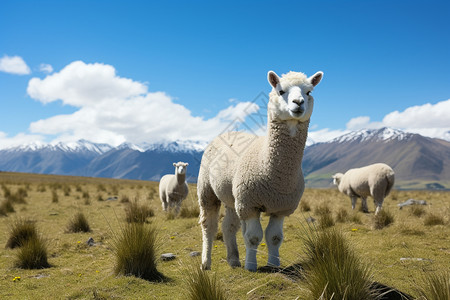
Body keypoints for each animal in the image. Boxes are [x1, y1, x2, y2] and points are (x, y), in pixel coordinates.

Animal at [198, 69, 324, 270]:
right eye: (281, 91)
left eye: (309, 92)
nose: (298, 103)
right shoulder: (250, 205)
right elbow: (253, 237)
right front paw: (251, 266)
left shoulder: (280, 208)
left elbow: (274, 237)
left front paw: (273, 265)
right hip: (206, 189)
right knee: (208, 225)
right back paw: (206, 262)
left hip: (232, 195)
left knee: (228, 226)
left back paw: (233, 260)